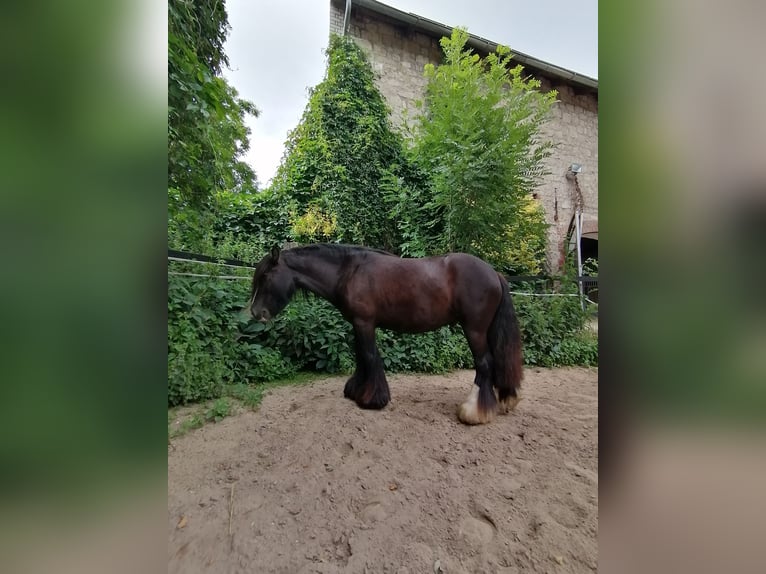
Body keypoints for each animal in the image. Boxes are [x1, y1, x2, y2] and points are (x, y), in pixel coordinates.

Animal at [249, 245, 524, 426]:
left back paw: (474, 412)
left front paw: (373, 399)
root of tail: (494, 273)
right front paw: (356, 391)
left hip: (474, 330)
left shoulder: (365, 323)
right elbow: (361, 356)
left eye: (266, 276)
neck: (348, 271)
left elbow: (369, 356)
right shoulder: (357, 324)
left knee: (484, 364)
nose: (255, 313)